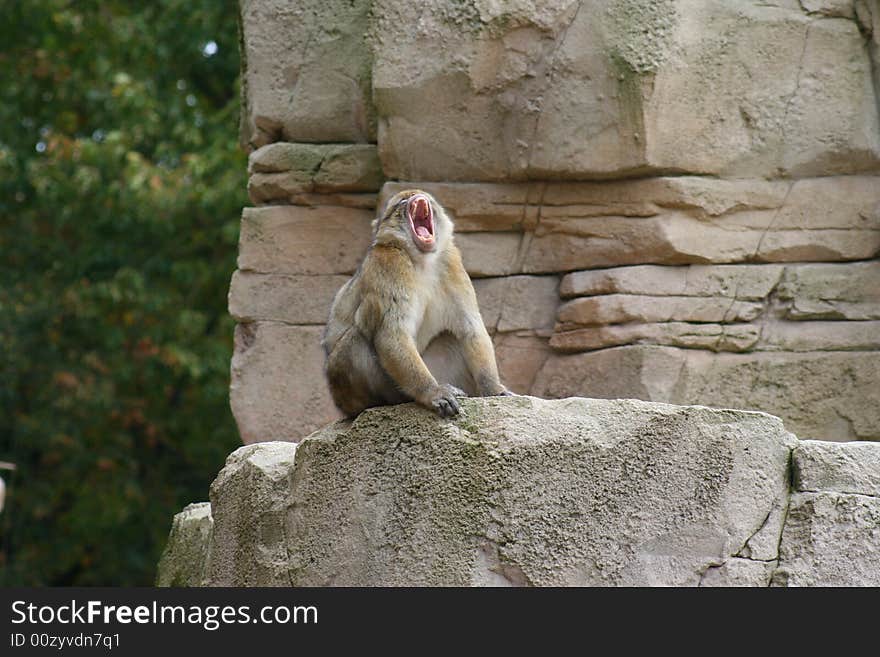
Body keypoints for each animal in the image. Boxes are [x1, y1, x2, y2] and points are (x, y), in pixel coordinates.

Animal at [324, 187, 512, 418]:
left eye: (426, 198)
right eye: (403, 201)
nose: (416, 197)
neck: (422, 259)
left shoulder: (451, 262)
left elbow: (470, 329)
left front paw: (493, 389)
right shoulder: (388, 264)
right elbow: (392, 333)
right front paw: (433, 393)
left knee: (451, 337)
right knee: (354, 341)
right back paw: (386, 402)